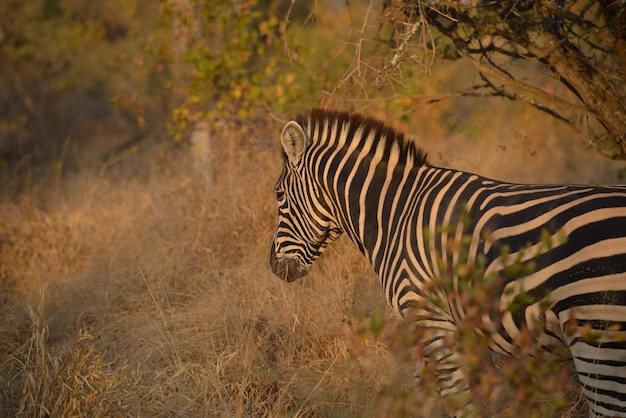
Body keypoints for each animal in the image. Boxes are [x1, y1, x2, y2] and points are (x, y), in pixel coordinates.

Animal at [268, 107, 624, 414]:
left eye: (279, 195)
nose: (273, 267)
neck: (397, 213)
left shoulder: (429, 315)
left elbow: (456, 400)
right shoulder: (435, 324)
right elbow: (419, 396)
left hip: (598, 332)